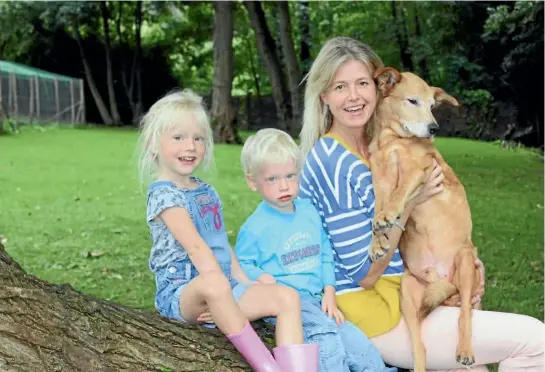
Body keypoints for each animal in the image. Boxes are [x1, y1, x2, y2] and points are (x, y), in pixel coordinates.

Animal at [366, 67, 480, 372]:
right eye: (412, 101)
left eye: (432, 106)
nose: (434, 129)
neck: (391, 140)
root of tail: (441, 279)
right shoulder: (380, 181)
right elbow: (376, 214)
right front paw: (376, 241)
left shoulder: (419, 169)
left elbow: (400, 193)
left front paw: (389, 215)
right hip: (408, 293)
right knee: (420, 345)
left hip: (466, 263)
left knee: (465, 314)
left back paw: (465, 349)